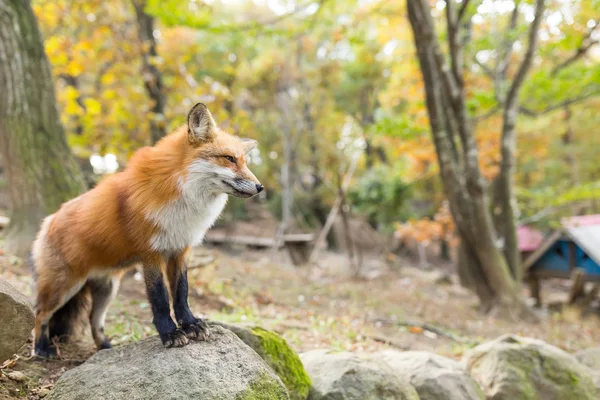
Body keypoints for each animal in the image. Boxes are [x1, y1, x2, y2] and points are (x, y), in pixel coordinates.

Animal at [29, 102, 260, 356]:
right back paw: (41, 349)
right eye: (229, 158)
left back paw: (105, 348)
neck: (182, 197)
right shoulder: (151, 253)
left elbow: (181, 293)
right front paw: (170, 333)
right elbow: (160, 298)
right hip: (64, 286)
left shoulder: (180, 250)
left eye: (245, 162)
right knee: (40, 313)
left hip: (107, 290)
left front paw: (191, 325)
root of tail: (48, 220)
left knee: (93, 319)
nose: (260, 187)